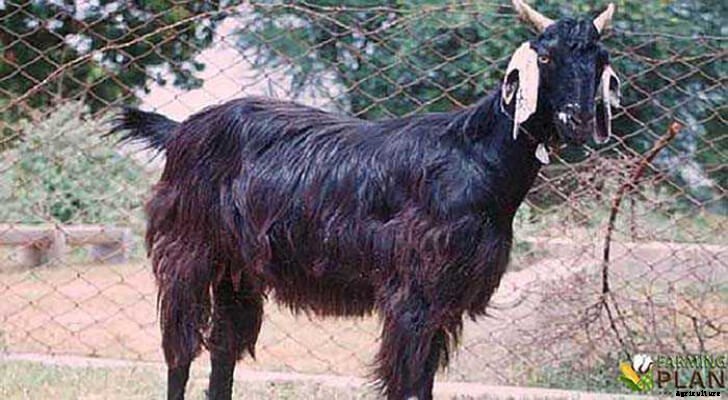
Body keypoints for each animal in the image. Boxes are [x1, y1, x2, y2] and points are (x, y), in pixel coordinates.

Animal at [111, 1, 620, 399]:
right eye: (547, 57)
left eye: (600, 58)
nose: (576, 120)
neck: (476, 156)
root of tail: (184, 129)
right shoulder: (413, 293)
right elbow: (408, 384)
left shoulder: (446, 299)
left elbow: (425, 381)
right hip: (188, 248)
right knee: (180, 349)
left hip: (238, 268)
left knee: (222, 347)